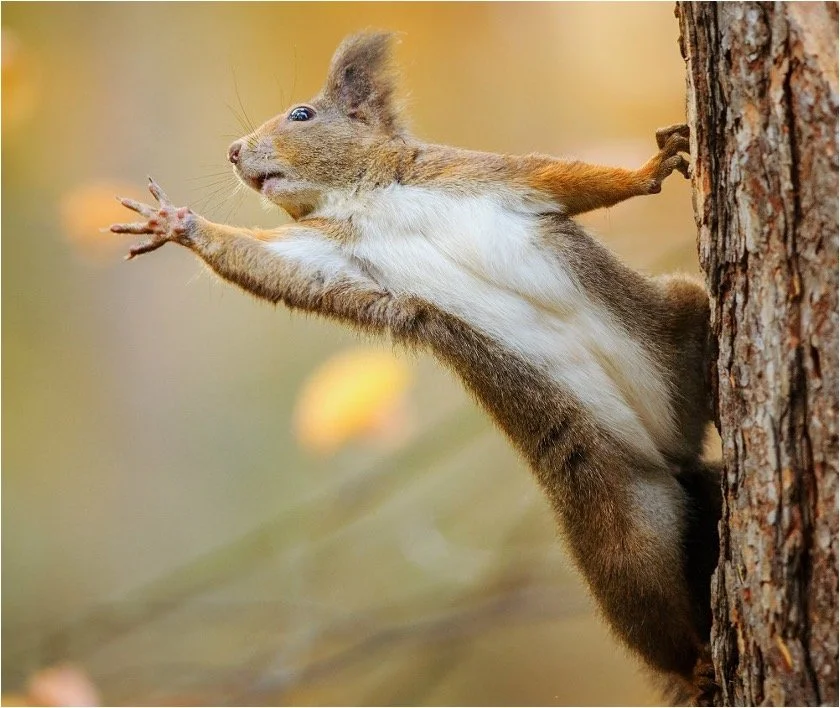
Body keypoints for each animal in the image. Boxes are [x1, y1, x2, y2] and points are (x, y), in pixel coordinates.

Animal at [111, 31, 722, 705]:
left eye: (302, 114)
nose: (234, 150)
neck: (366, 196)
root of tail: (673, 452)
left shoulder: (477, 174)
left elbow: (563, 178)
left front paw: (649, 170)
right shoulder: (328, 253)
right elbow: (269, 266)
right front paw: (178, 224)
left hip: (679, 321)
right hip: (616, 524)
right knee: (648, 608)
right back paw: (694, 665)